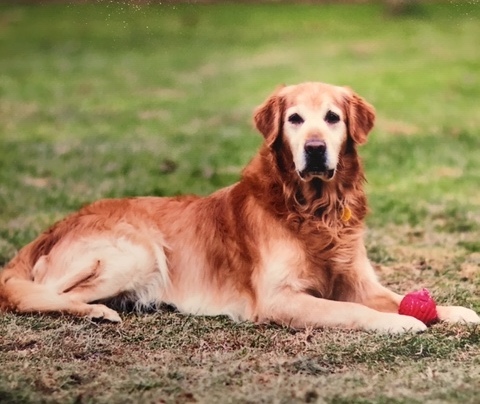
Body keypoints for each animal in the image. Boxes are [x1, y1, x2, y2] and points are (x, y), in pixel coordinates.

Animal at [0, 82, 480, 332]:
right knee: (37, 296)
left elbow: (400, 298)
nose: (316, 150)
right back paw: (98, 312)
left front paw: (453, 311)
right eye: (295, 119)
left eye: (333, 117)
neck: (312, 209)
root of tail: (54, 227)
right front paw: (401, 324)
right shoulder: (278, 298)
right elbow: (351, 311)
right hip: (137, 251)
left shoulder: (359, 282)